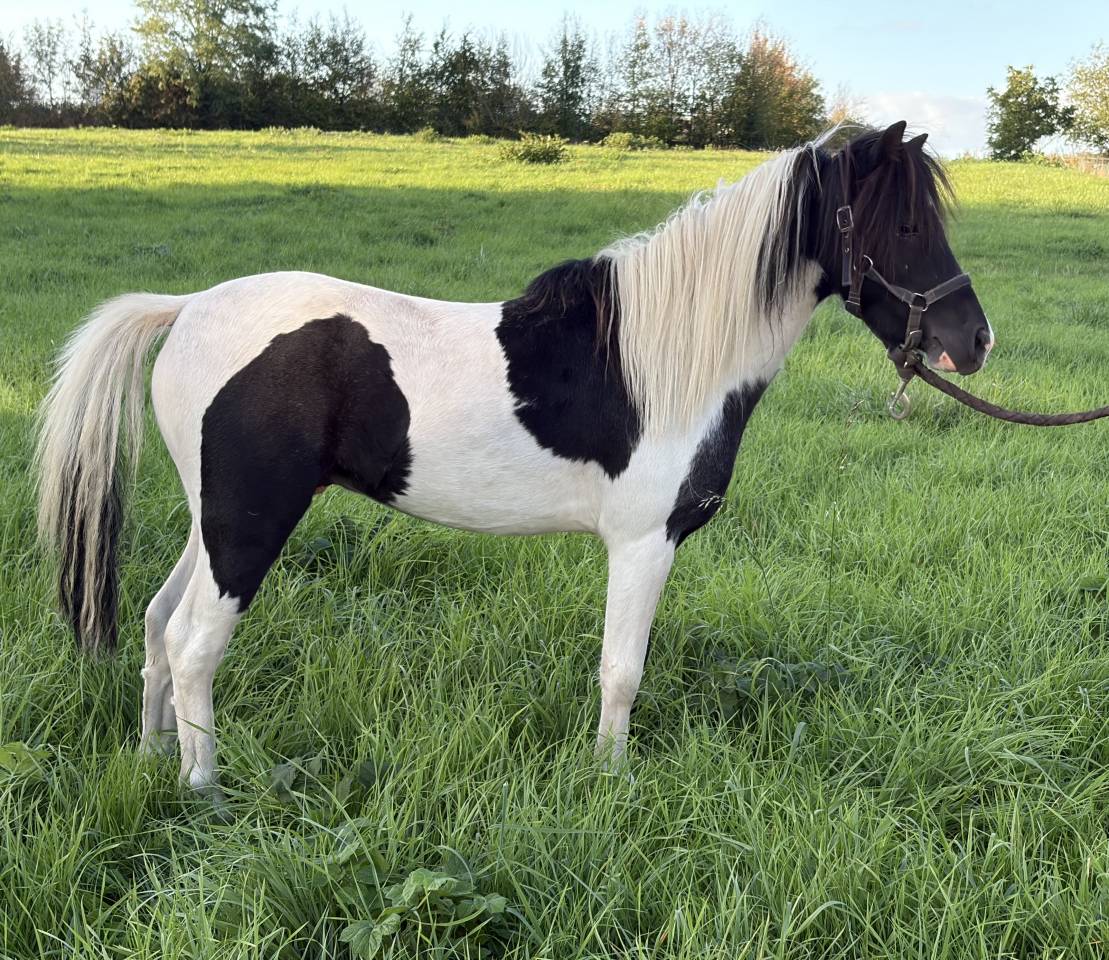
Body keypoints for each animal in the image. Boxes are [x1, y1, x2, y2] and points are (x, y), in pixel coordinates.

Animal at [36, 121, 994, 792]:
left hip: (213, 520)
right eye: (907, 223)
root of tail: (187, 307)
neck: (662, 360)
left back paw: (153, 762)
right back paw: (205, 789)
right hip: (250, 521)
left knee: (158, 625)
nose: (973, 341)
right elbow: (620, 672)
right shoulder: (642, 545)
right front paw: (610, 783)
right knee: (194, 644)